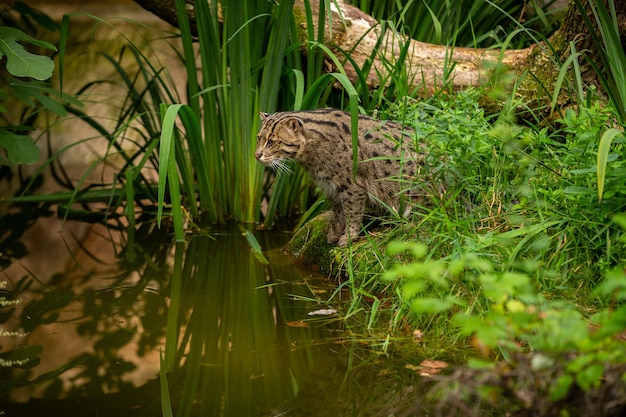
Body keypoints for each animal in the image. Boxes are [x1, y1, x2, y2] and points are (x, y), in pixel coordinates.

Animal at [252, 107, 420, 245]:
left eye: (271, 142)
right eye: (259, 138)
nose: (256, 155)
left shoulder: (352, 186)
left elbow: (352, 212)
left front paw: (349, 237)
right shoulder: (329, 186)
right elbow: (339, 213)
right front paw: (337, 233)